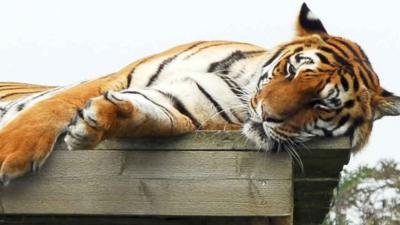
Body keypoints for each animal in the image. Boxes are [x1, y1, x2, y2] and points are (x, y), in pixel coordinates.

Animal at [0, 3, 398, 185]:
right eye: (290, 71)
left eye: (320, 104)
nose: (267, 114)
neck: (240, 83)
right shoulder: (118, 77)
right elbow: (51, 107)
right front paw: (10, 151)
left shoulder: (184, 108)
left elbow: (148, 113)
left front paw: (96, 122)